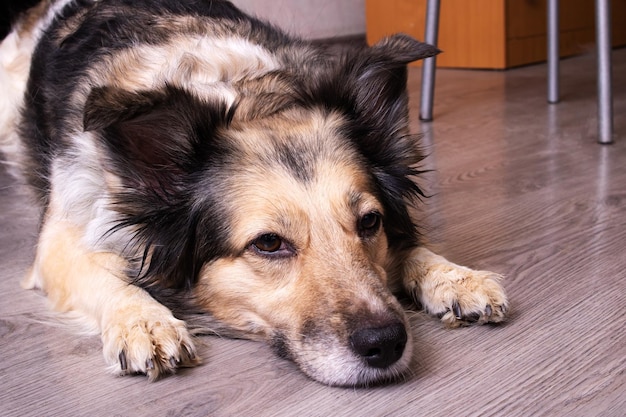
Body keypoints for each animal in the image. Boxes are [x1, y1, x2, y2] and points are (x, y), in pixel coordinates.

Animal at [0, 0, 508, 386]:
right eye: (268, 243)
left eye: (370, 222)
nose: (387, 344)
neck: (244, 99)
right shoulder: (59, 239)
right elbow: (104, 273)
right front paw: (144, 321)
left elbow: (411, 248)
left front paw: (454, 277)